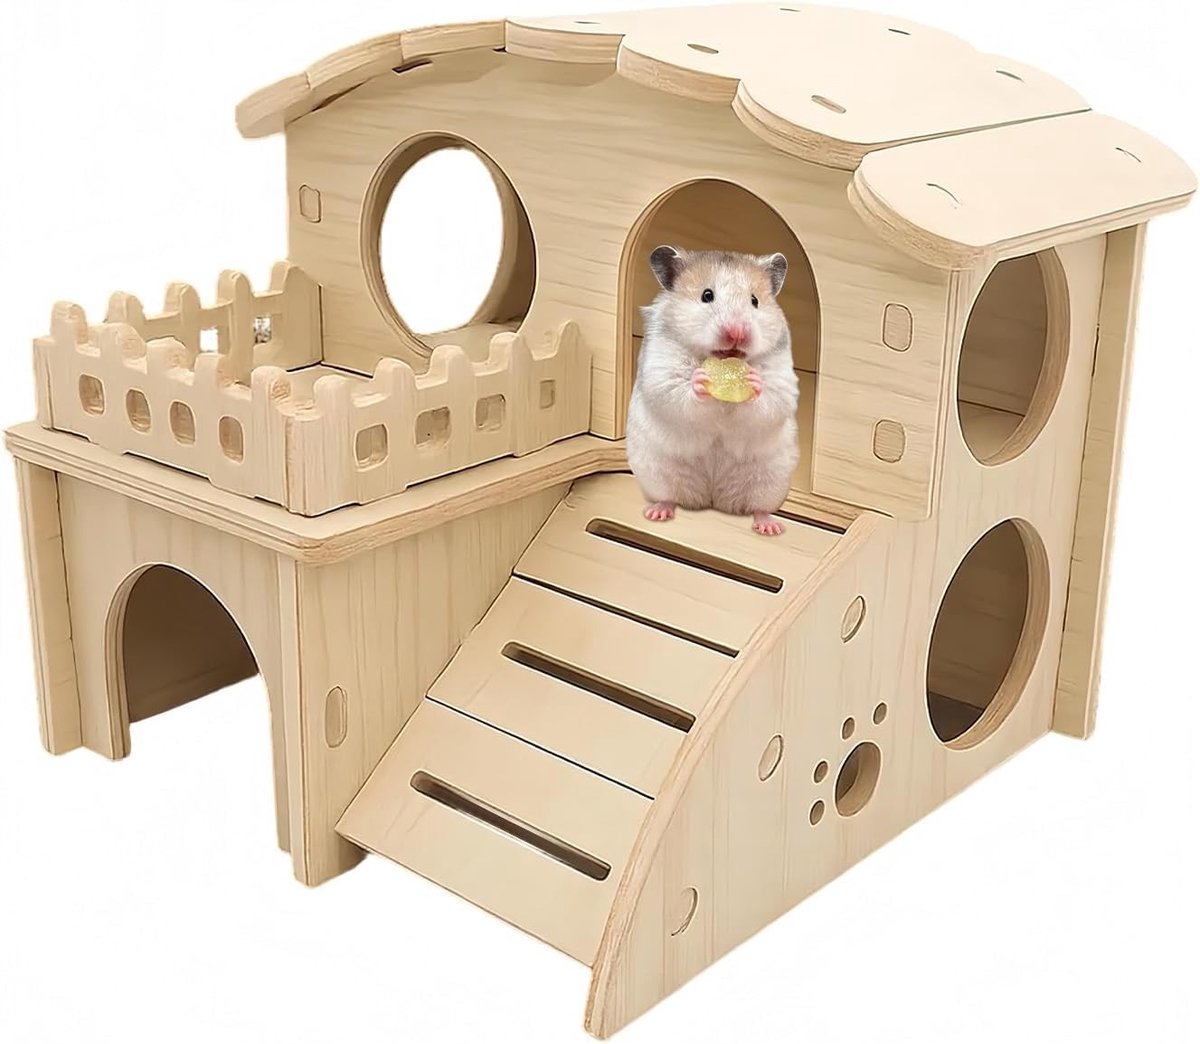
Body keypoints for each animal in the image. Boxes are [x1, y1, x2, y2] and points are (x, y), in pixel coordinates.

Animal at [625, 246, 800, 536]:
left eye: (754, 301)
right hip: (657, 470)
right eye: (706, 295)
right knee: (670, 497)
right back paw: (657, 513)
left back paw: (770, 527)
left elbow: (773, 397)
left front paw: (753, 381)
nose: (737, 333)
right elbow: (674, 387)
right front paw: (700, 379)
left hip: (769, 479)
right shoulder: (661, 367)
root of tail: (713, 498)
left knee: (759, 507)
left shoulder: (782, 376)